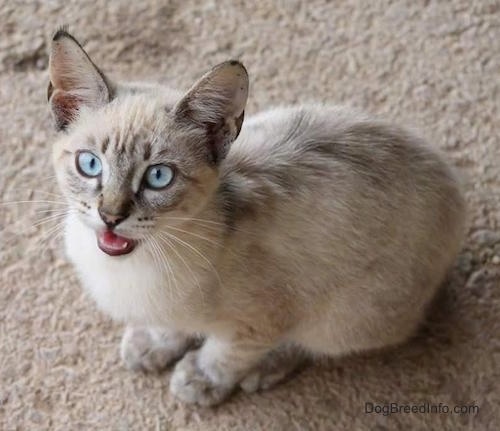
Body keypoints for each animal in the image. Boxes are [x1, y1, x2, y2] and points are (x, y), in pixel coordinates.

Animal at [47, 28, 464, 406]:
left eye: (158, 177)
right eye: (90, 165)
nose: (110, 216)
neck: (130, 270)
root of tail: (454, 186)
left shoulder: (264, 318)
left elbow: (228, 354)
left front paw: (201, 379)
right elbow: (172, 326)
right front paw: (153, 343)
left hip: (346, 314)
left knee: (315, 343)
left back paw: (264, 370)